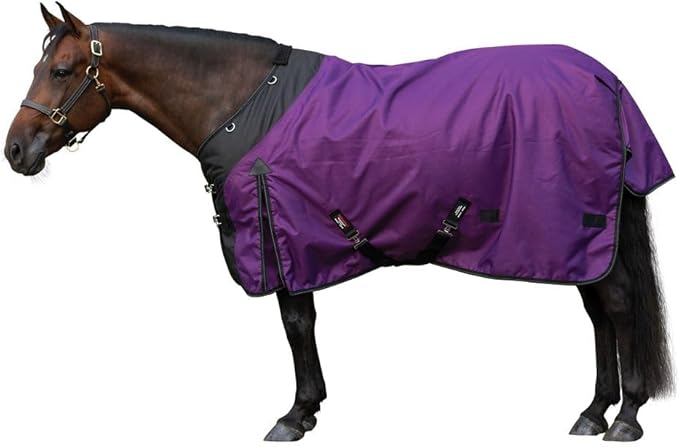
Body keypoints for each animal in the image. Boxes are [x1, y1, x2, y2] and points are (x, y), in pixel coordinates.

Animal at [4, 4, 674, 442]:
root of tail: (605, 79)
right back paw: (592, 411)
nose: (15, 151)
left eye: (61, 71)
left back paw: (625, 417)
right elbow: (301, 326)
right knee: (597, 311)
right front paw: (310, 408)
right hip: (581, 241)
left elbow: (296, 325)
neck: (243, 102)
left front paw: (295, 414)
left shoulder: (284, 236)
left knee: (616, 305)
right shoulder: (294, 237)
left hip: (580, 228)